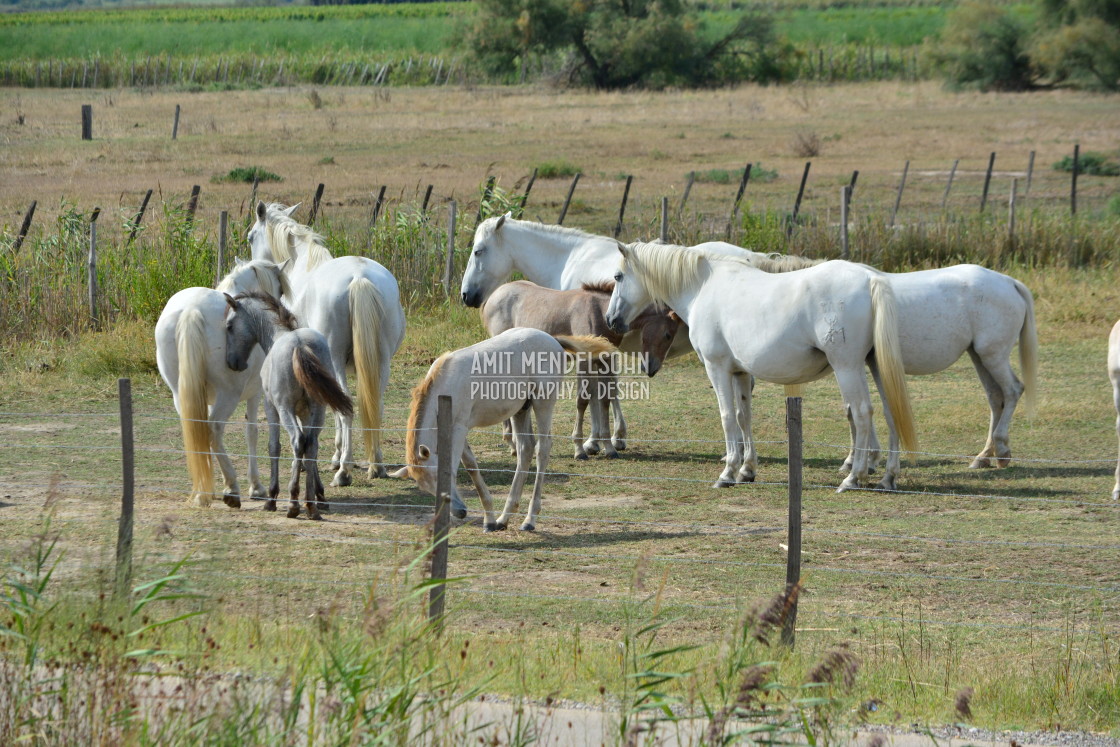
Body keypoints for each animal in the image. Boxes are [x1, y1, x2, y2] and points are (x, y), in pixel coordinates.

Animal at [155, 257, 291, 508]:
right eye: (280, 290)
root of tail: (191, 309)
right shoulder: (256, 394)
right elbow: (251, 431)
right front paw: (256, 486)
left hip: (180, 394)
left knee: (198, 430)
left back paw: (202, 492)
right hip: (229, 395)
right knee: (215, 428)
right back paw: (231, 488)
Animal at [224, 291, 353, 519]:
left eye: (229, 326)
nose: (233, 363)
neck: (278, 334)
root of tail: (300, 345)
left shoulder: (271, 408)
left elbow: (274, 447)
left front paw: (272, 497)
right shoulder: (305, 413)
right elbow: (310, 452)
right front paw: (320, 495)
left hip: (285, 410)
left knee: (297, 440)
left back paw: (293, 503)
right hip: (318, 409)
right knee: (310, 443)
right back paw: (310, 505)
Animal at [246, 201, 407, 488]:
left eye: (251, 237)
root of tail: (359, 277)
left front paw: (331, 458)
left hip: (338, 361)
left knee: (347, 407)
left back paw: (344, 472)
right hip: (382, 363)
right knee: (375, 404)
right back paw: (376, 465)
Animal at [392, 329, 622, 530]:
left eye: (443, 478)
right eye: (425, 487)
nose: (461, 512)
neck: (445, 383)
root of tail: (553, 339)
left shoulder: (458, 428)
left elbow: (459, 466)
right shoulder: (458, 430)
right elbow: (472, 466)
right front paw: (489, 521)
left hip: (543, 402)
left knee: (542, 448)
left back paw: (529, 520)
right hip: (521, 409)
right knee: (525, 449)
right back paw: (504, 518)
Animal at [604, 243, 918, 492]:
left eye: (618, 276)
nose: (610, 320)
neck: (703, 287)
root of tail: (870, 278)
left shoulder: (718, 369)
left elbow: (727, 417)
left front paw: (727, 472)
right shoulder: (741, 372)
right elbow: (743, 417)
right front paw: (746, 470)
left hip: (847, 367)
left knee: (863, 413)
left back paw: (853, 477)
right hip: (873, 366)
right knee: (888, 413)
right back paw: (886, 476)